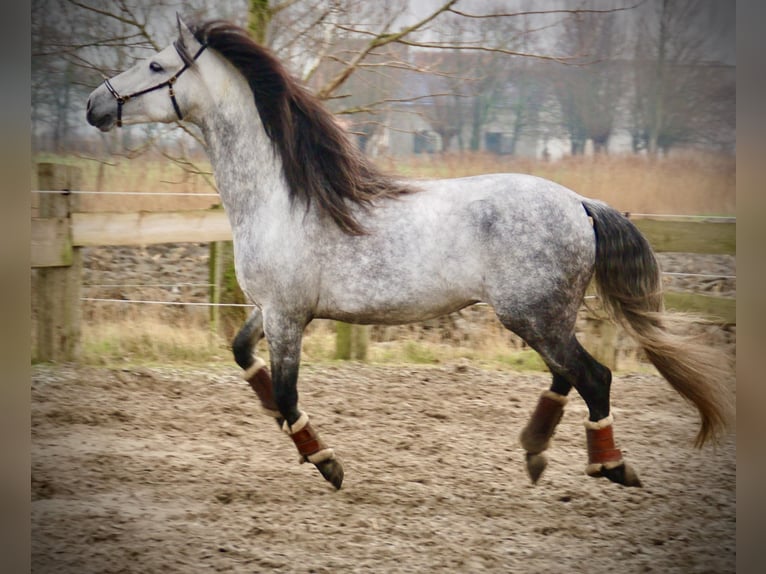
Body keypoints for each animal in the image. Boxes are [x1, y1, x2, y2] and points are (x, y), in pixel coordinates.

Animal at [87, 19, 736, 496]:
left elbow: (291, 395)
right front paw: (276, 417)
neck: (281, 197)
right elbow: (244, 355)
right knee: (565, 376)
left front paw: (327, 462)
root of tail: (579, 203)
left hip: (533, 315)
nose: (95, 104)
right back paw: (534, 453)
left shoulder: (288, 315)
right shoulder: (272, 309)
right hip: (543, 316)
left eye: (155, 65)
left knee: (593, 376)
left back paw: (609, 465)